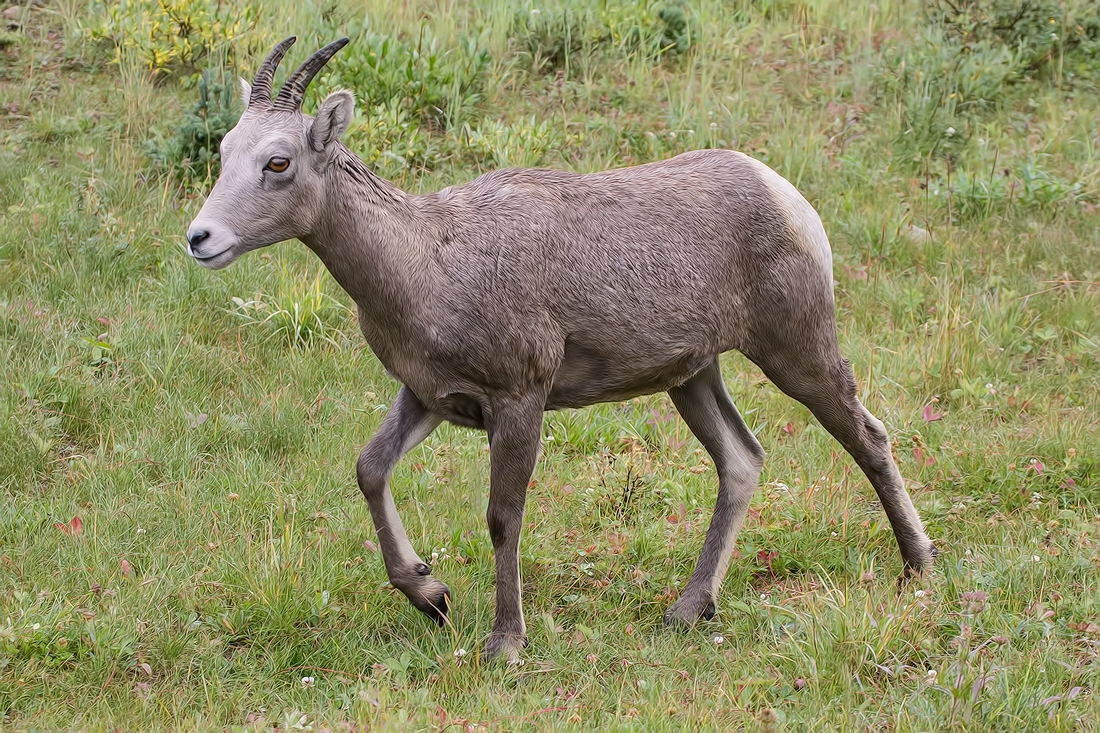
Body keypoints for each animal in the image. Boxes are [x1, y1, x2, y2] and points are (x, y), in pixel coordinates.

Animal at [187, 37, 937, 660]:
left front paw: (504, 644)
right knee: (742, 460)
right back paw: (687, 610)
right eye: (224, 152)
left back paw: (918, 565)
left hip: (796, 350)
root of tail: (786, 195)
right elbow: (370, 469)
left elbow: (502, 517)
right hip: (693, 377)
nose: (200, 238)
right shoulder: (431, 397)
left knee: (867, 434)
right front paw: (431, 595)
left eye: (278, 161)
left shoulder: (519, 399)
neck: (425, 260)